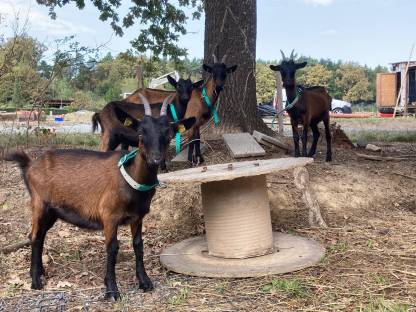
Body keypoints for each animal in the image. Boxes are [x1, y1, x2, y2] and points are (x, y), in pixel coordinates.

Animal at [4, 94, 197, 300]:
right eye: (140, 133)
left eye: (169, 134)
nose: (156, 159)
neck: (131, 178)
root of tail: (29, 165)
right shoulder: (109, 216)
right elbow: (112, 248)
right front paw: (112, 290)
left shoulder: (138, 216)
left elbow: (138, 245)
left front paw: (145, 282)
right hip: (39, 204)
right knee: (34, 236)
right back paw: (35, 281)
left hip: (52, 211)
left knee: (39, 236)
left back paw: (40, 272)